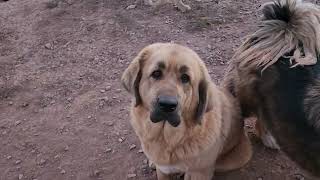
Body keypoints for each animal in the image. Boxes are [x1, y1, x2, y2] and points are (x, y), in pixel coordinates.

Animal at [121, 43, 251, 179]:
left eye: (185, 78)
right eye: (156, 73)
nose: (167, 105)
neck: (169, 139)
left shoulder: (200, 172)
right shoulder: (163, 170)